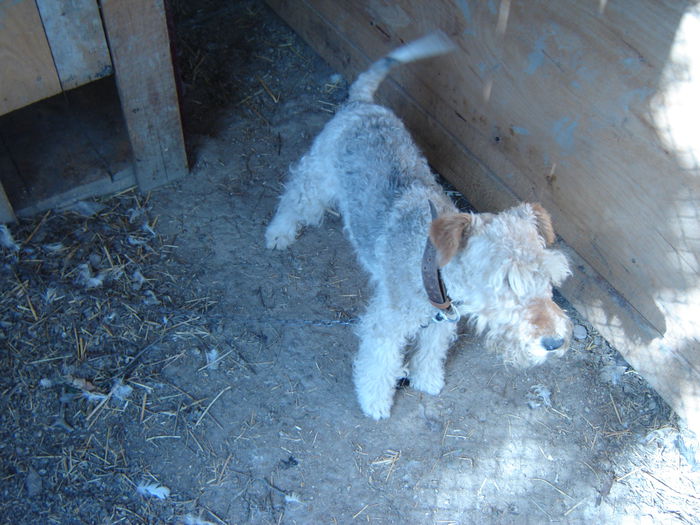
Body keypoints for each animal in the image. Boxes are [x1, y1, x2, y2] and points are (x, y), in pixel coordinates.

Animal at [266, 31, 572, 418]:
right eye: (504, 282)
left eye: (550, 277)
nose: (555, 342)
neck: (431, 267)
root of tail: (362, 103)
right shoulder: (387, 324)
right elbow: (378, 364)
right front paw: (375, 402)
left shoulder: (441, 324)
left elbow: (430, 352)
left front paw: (428, 380)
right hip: (317, 177)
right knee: (294, 196)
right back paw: (277, 234)